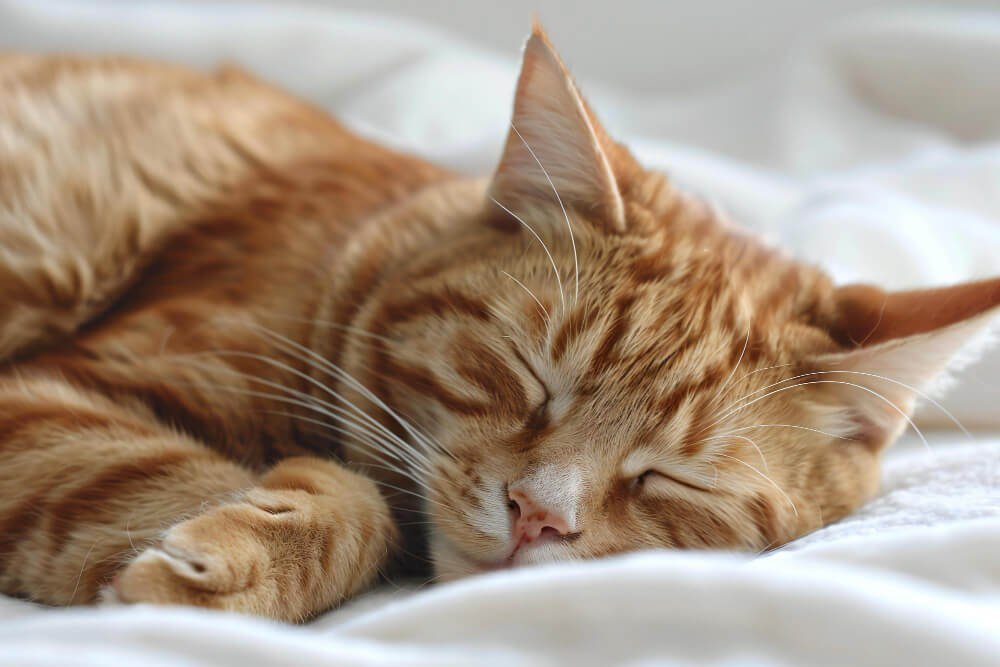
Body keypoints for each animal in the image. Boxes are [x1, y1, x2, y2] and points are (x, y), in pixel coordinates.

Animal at [0, 23, 996, 624]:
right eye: (526, 377)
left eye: (674, 479)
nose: (536, 516)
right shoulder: (57, 392)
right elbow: (349, 504)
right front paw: (236, 557)